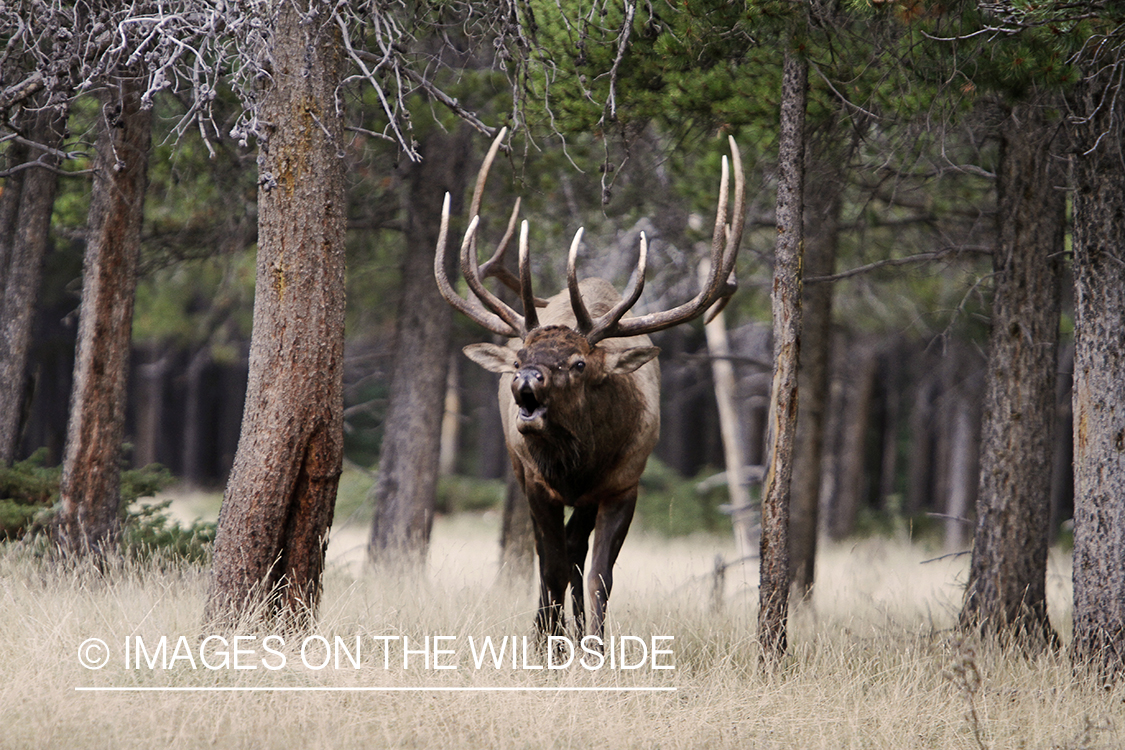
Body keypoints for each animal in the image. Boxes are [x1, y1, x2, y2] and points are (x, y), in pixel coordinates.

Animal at [434, 127, 742, 638]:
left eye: (579, 364)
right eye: (519, 356)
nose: (526, 380)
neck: (580, 466)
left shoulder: (623, 484)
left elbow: (598, 575)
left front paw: (594, 643)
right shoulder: (535, 482)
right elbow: (552, 567)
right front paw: (547, 641)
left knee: (578, 553)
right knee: (555, 559)